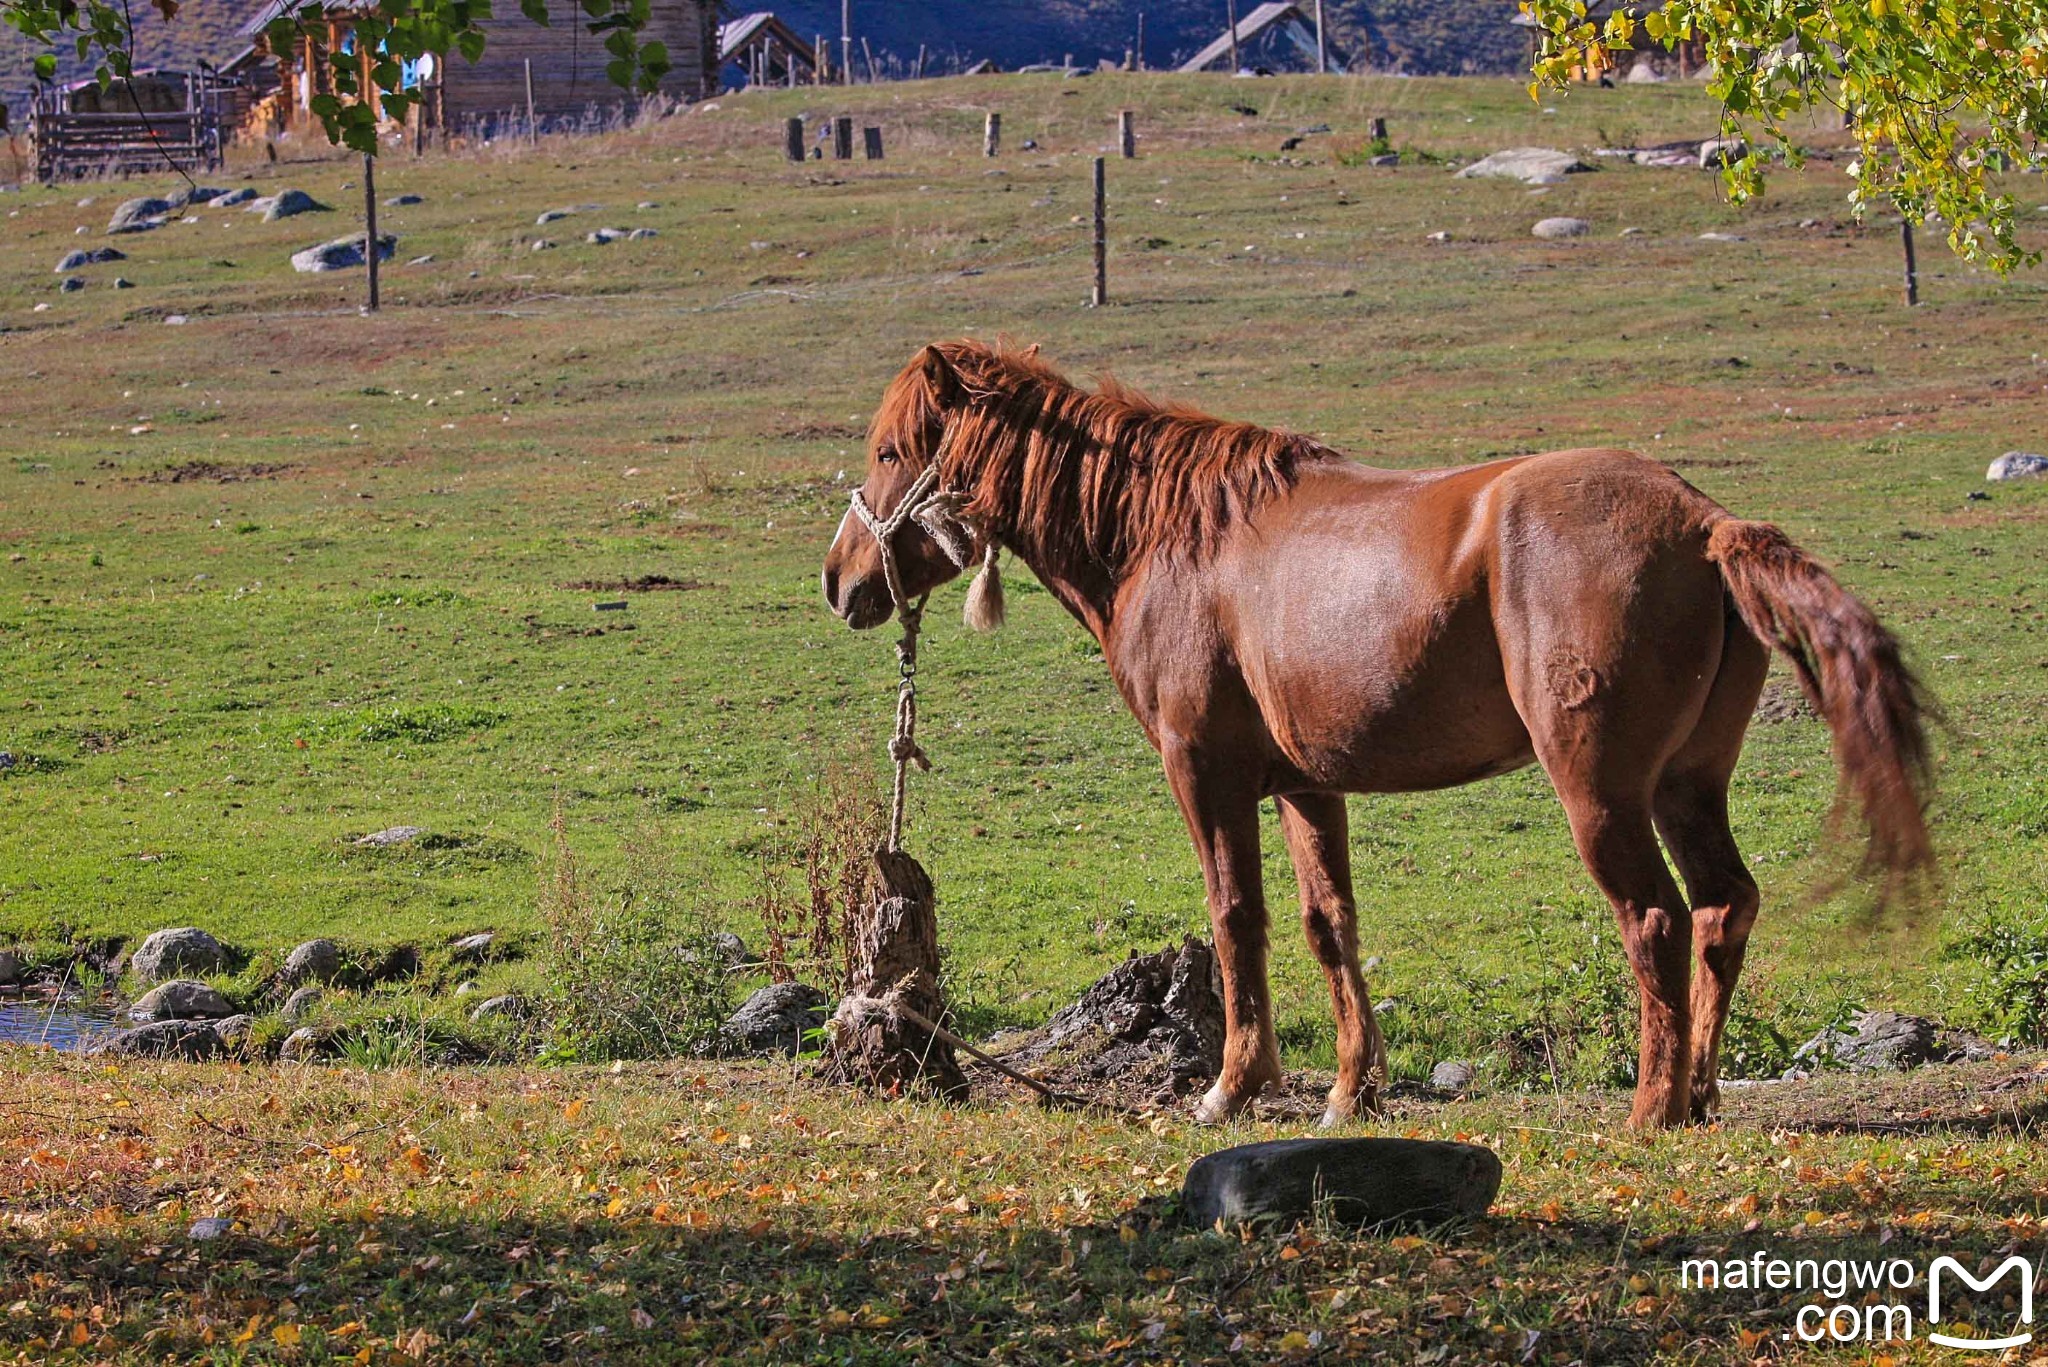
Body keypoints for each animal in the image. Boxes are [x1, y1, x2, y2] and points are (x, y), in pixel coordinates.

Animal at [819, 342, 1933, 1131]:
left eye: (890, 450)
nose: (838, 582)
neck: (1173, 538)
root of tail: (1704, 524)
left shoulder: (1204, 772)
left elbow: (1237, 917)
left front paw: (1232, 1085)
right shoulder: (1305, 784)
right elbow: (1328, 924)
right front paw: (1350, 1090)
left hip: (1603, 795)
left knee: (1655, 919)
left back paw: (1652, 1107)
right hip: (1684, 788)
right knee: (1719, 907)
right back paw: (1696, 1093)